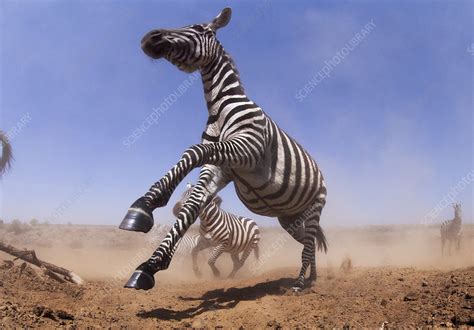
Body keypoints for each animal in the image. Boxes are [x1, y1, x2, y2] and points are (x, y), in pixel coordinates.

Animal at [118, 7, 328, 292]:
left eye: (198, 28)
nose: (149, 37)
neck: (219, 107)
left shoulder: (248, 148)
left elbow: (193, 151)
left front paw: (146, 207)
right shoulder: (219, 167)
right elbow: (192, 203)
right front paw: (148, 258)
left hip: (316, 205)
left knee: (308, 243)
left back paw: (299, 283)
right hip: (290, 219)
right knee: (309, 241)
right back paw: (312, 277)